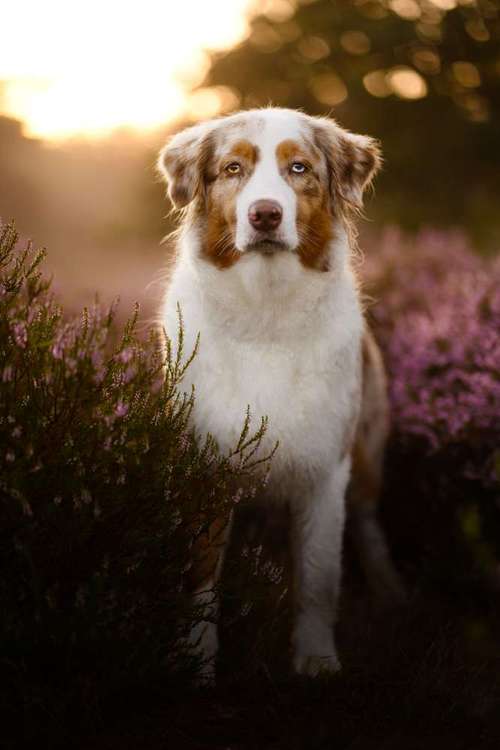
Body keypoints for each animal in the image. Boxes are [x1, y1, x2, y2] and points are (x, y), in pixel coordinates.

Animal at [158, 107, 404, 680]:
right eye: (233, 169)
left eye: (299, 168)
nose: (265, 215)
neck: (265, 314)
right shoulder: (203, 461)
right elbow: (201, 574)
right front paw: (196, 660)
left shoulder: (326, 467)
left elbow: (317, 576)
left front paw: (316, 659)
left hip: (367, 450)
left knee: (369, 525)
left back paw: (390, 593)